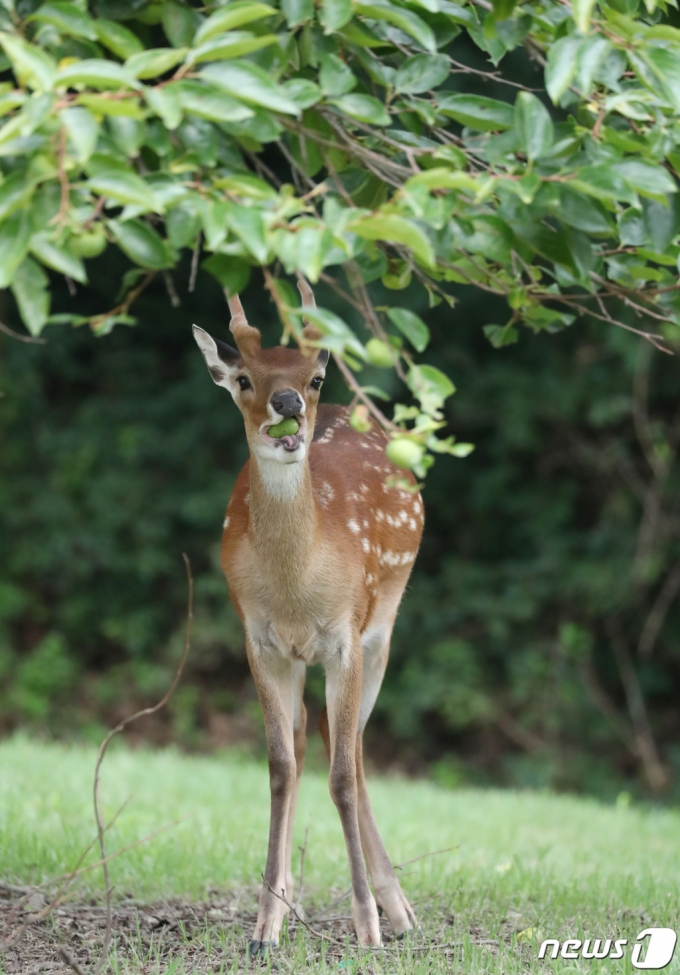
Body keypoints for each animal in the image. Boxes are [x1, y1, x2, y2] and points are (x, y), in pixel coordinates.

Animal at [193, 280, 424, 952]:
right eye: (244, 377)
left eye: (314, 375)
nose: (288, 401)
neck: (297, 591)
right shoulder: (260, 642)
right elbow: (278, 767)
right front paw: (264, 926)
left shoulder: (345, 636)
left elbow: (342, 777)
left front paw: (368, 927)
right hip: (306, 661)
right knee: (305, 741)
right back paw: (292, 899)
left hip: (381, 633)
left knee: (356, 751)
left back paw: (401, 912)